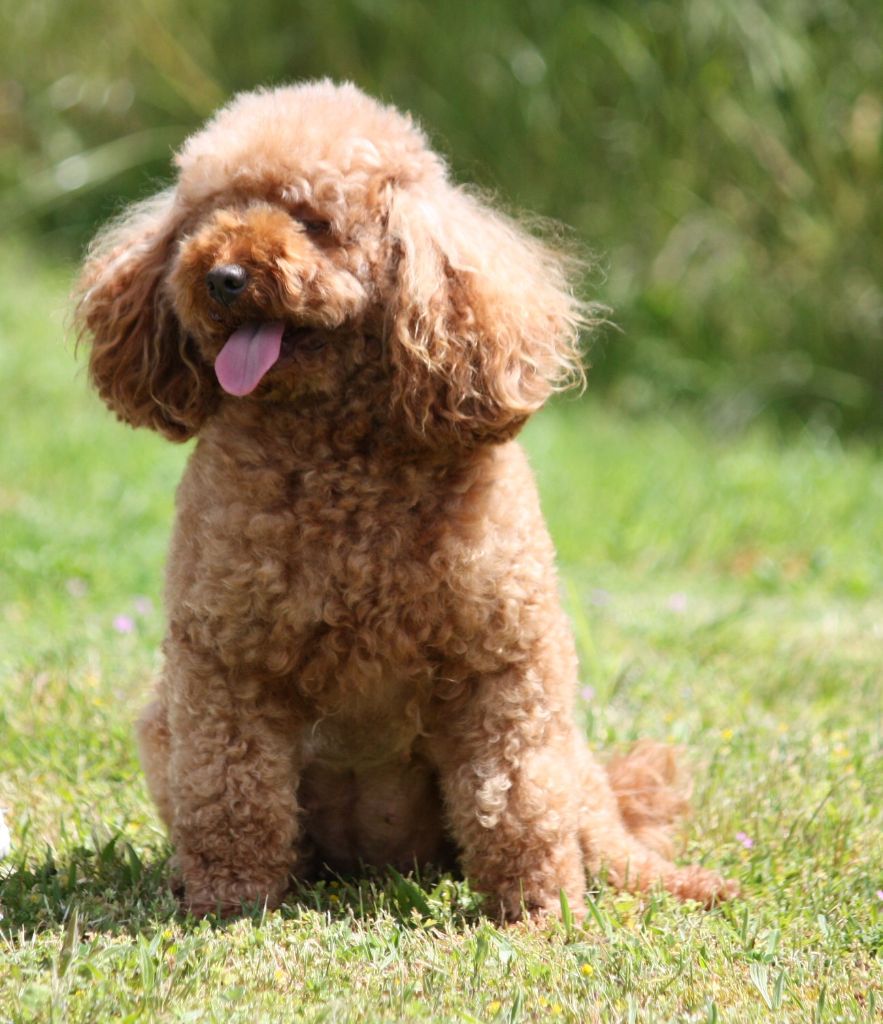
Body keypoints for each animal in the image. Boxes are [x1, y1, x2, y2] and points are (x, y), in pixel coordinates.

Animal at [77, 81, 741, 921]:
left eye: (313, 221)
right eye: (202, 219)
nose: (220, 275)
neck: (338, 449)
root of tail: (377, 865)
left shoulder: (505, 661)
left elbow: (516, 796)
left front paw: (538, 914)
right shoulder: (225, 660)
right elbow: (231, 788)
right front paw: (228, 902)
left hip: (572, 757)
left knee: (602, 833)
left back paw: (683, 884)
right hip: (165, 727)